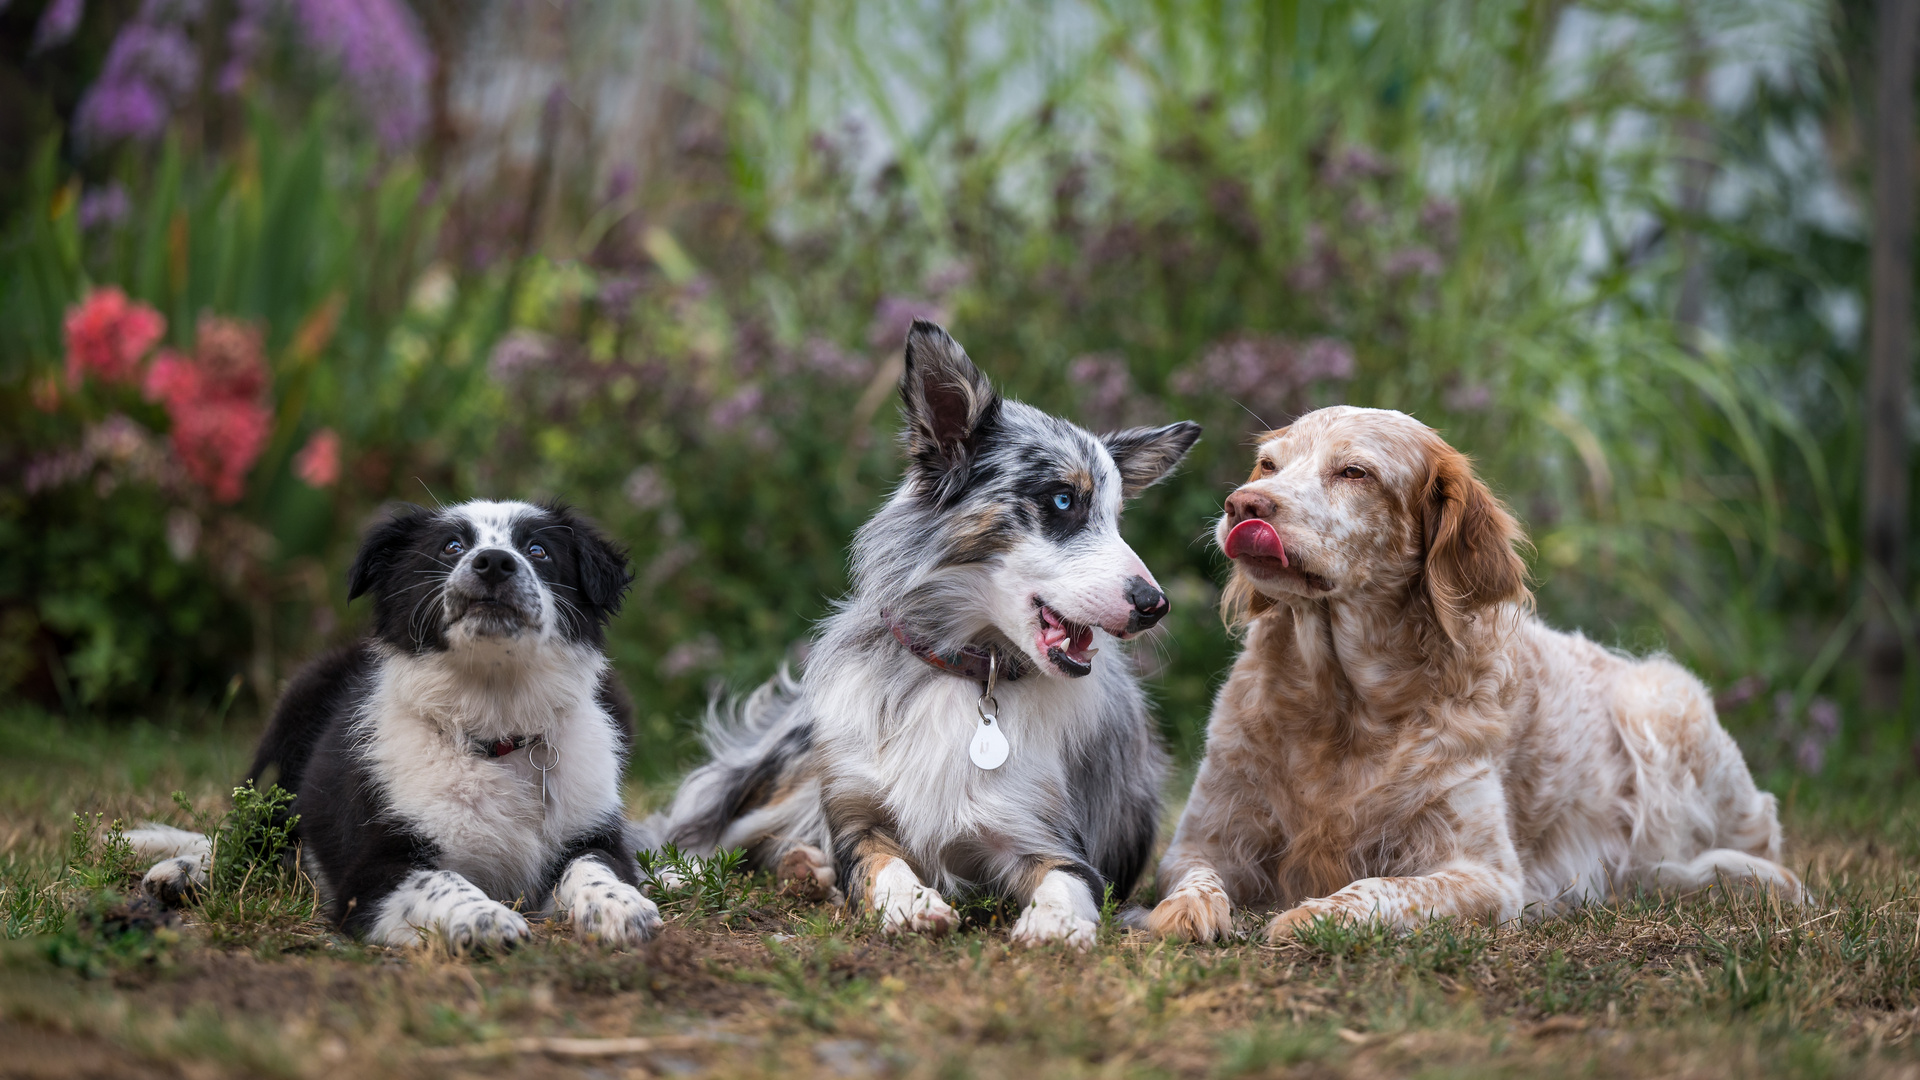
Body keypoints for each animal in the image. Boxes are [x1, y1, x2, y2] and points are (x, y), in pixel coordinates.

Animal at [131, 499, 664, 945]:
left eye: (538, 550)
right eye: (451, 547)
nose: (494, 563)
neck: (493, 730)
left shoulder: (594, 834)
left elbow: (594, 866)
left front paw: (623, 907)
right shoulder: (369, 876)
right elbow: (442, 879)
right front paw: (485, 919)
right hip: (285, 740)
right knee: (249, 835)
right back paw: (182, 871)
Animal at [660, 322, 1198, 945]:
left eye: (1116, 518)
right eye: (1063, 500)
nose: (1155, 606)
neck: (967, 672)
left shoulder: (1050, 840)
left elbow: (1066, 880)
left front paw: (1055, 921)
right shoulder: (855, 818)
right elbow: (878, 862)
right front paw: (908, 901)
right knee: (722, 830)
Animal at [1152, 407, 1797, 937]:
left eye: (1355, 472)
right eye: (1269, 463)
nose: (1243, 504)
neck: (1343, 705)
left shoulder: (1488, 877)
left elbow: (1378, 888)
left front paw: (1310, 916)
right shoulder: (1202, 840)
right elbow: (1194, 879)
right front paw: (1188, 911)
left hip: (1657, 699)